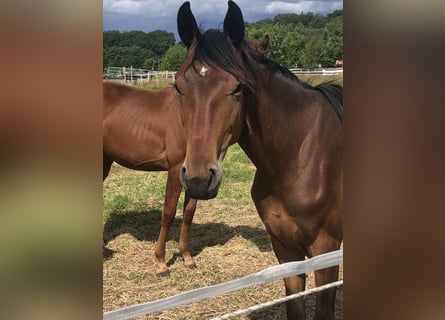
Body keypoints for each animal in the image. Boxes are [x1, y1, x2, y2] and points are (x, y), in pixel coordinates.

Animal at [175, 1, 342, 318]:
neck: (301, 156)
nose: (198, 179)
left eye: (239, 87)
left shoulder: (325, 252)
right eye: (178, 87)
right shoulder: (286, 250)